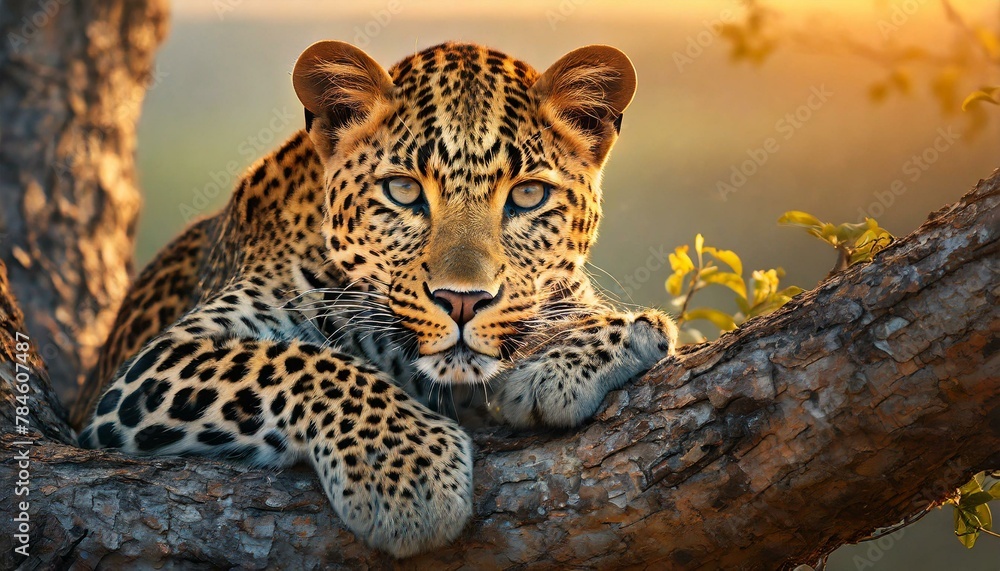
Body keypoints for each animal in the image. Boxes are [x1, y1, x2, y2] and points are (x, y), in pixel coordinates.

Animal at [74, 40, 678, 558]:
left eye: (528, 195)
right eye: (403, 190)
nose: (462, 301)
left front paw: (592, 344)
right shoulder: (156, 366)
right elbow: (300, 360)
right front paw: (409, 474)